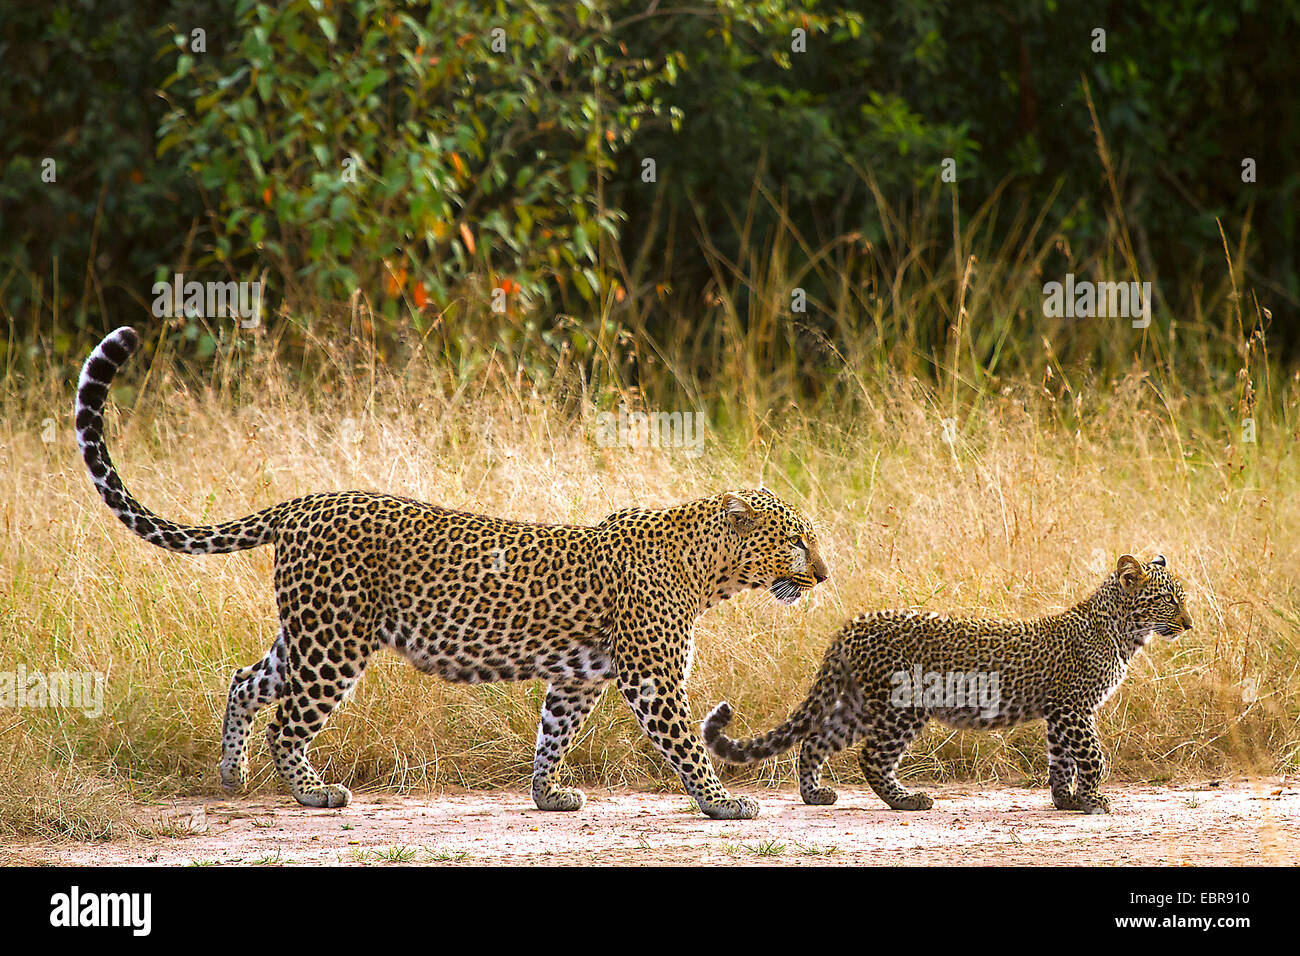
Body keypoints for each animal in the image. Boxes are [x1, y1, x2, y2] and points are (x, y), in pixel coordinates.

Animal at [78, 325, 832, 816]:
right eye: (798, 542)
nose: (824, 577)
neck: (706, 571)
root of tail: (305, 504)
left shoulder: (580, 676)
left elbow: (554, 733)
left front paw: (548, 794)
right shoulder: (652, 681)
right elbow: (686, 746)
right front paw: (724, 802)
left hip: (309, 631)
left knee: (245, 682)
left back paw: (232, 778)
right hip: (334, 642)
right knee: (286, 719)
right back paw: (311, 792)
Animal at [707, 556, 1190, 816]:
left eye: (1181, 599)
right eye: (1168, 600)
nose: (1188, 623)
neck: (1124, 632)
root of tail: (855, 623)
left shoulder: (1059, 714)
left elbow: (1062, 761)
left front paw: (1066, 801)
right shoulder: (1074, 708)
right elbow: (1092, 756)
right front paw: (1092, 801)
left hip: (861, 703)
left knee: (816, 740)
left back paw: (815, 795)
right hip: (902, 706)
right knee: (870, 756)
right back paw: (907, 801)